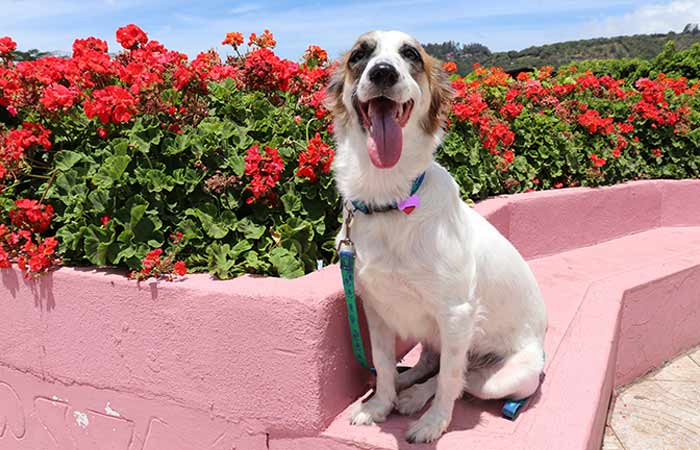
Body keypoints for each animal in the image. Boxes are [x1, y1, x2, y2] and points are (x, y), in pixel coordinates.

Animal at [326, 31, 548, 442]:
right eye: (359, 55)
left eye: (411, 54)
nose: (383, 72)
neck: (391, 200)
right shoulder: (376, 308)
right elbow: (383, 363)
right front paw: (379, 405)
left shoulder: (457, 312)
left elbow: (449, 379)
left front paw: (433, 423)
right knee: (430, 361)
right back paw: (406, 383)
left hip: (507, 376)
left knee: (463, 377)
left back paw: (417, 397)